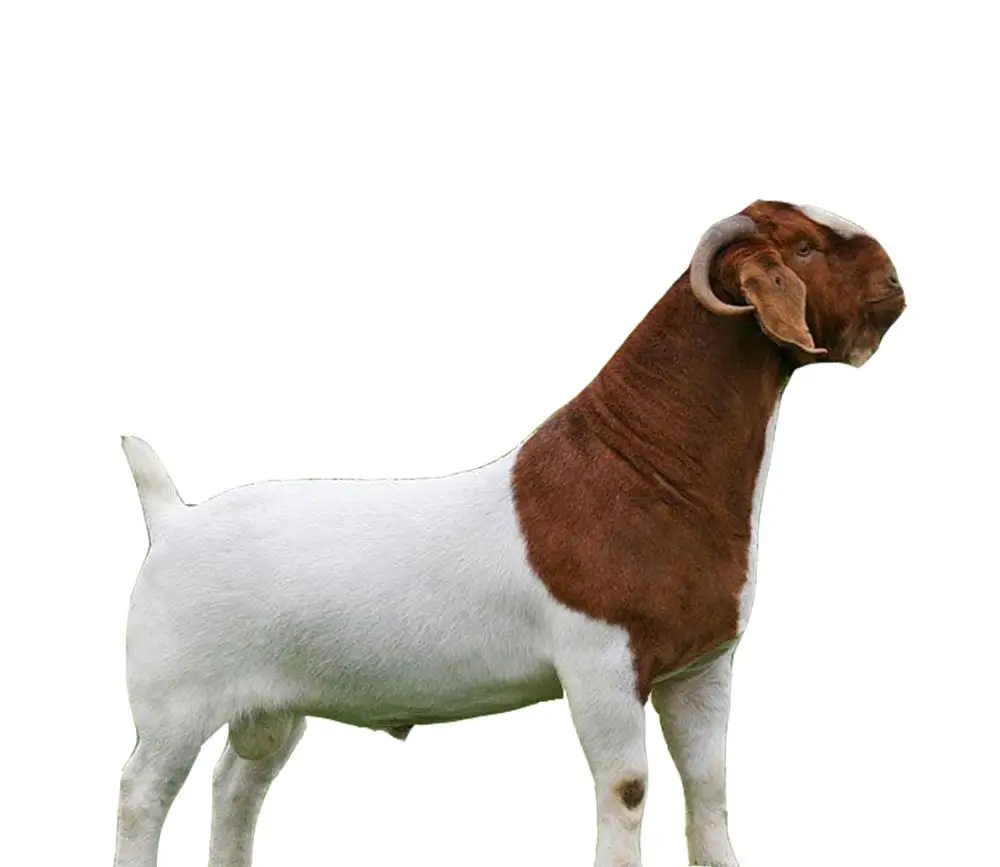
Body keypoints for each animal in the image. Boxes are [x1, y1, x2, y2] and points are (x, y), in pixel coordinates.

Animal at [114, 200, 905, 867]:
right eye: (804, 248)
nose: (895, 284)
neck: (644, 466)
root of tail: (173, 516)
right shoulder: (601, 663)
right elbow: (627, 789)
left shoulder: (702, 667)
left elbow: (708, 790)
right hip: (173, 701)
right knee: (141, 794)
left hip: (272, 706)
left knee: (236, 786)